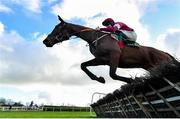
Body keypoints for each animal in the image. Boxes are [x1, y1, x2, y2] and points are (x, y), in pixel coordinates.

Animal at [43, 15, 175, 83]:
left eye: (57, 28)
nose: (45, 41)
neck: (94, 38)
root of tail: (165, 53)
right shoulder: (102, 60)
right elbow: (83, 65)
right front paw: (99, 79)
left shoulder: (114, 55)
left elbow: (113, 75)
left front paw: (134, 80)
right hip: (150, 66)